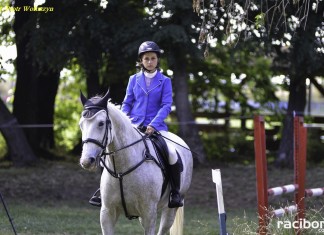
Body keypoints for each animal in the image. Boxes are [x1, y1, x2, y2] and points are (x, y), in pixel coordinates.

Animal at [78, 92, 192, 235]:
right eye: (81, 124)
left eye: (101, 123)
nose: (86, 161)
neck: (121, 170)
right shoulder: (107, 213)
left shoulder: (149, 213)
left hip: (170, 210)